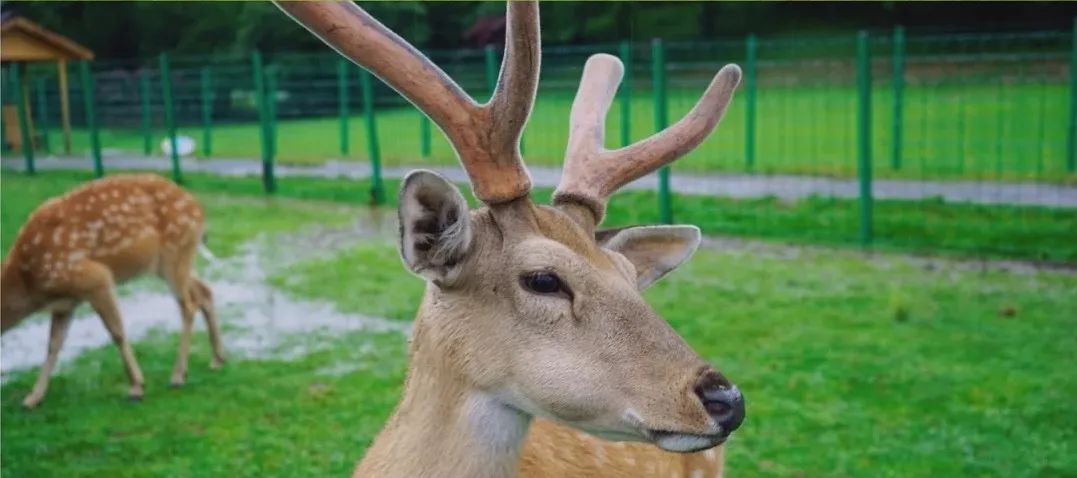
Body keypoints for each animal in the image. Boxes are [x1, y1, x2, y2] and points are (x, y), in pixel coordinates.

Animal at [0, 173, 222, 409]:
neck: (28, 282)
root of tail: (199, 209)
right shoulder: (66, 302)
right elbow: (53, 345)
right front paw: (33, 397)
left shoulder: (95, 278)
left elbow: (116, 332)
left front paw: (137, 387)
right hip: (170, 262)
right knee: (204, 291)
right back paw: (218, 358)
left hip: (175, 253)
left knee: (188, 306)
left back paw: (178, 375)